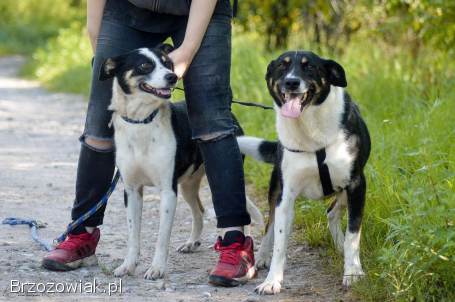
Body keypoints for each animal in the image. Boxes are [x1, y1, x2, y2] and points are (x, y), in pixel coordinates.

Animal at [99, 44, 264, 280]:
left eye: (168, 63)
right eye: (145, 65)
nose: (172, 76)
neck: (142, 122)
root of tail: (230, 111)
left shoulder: (168, 191)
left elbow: (161, 237)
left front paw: (157, 268)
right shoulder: (131, 190)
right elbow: (133, 235)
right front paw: (128, 266)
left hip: (220, 177)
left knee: (244, 213)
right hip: (188, 185)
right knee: (199, 211)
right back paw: (191, 242)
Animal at [237, 50, 372, 294]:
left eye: (309, 67)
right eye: (282, 66)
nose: (291, 82)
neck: (309, 129)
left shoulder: (357, 184)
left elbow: (353, 234)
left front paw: (353, 272)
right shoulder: (286, 195)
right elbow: (279, 241)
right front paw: (272, 281)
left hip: (346, 189)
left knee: (332, 212)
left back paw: (340, 246)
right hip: (275, 188)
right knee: (270, 225)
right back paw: (261, 256)